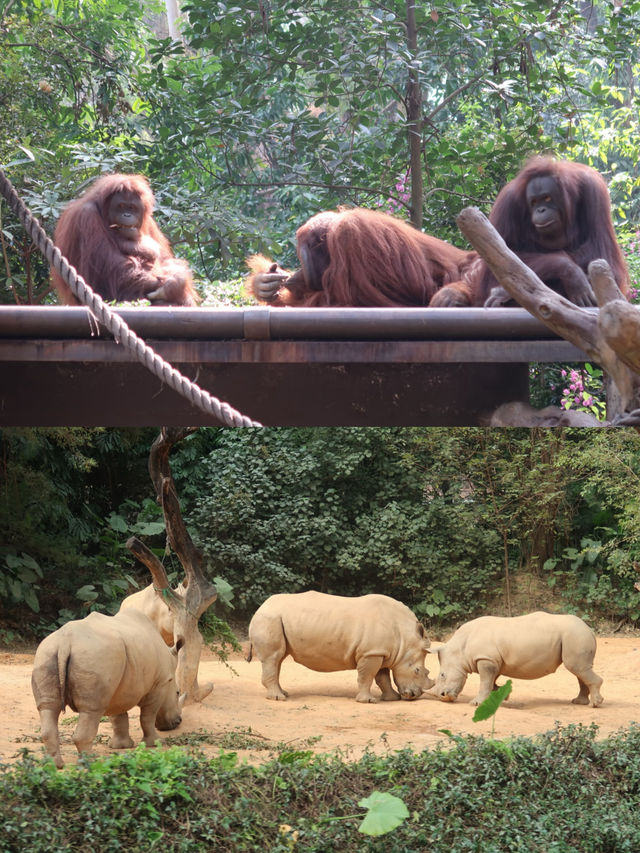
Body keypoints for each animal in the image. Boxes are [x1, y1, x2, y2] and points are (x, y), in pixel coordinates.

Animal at [31, 608, 185, 768]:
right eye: (177, 692)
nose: (178, 722)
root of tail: (65, 642)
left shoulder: (117, 687)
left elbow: (118, 717)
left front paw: (121, 746)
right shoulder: (159, 684)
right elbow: (148, 716)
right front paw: (155, 743)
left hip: (47, 654)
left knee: (48, 707)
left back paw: (54, 765)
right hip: (94, 656)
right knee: (91, 710)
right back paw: (90, 763)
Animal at [428, 612, 604, 704]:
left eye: (442, 675)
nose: (443, 697)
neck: (459, 648)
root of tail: (589, 629)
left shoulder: (486, 659)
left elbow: (485, 681)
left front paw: (476, 703)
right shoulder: (494, 660)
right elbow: (491, 681)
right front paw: (502, 695)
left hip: (575, 635)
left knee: (576, 667)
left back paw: (595, 704)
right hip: (575, 635)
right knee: (580, 670)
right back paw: (579, 702)